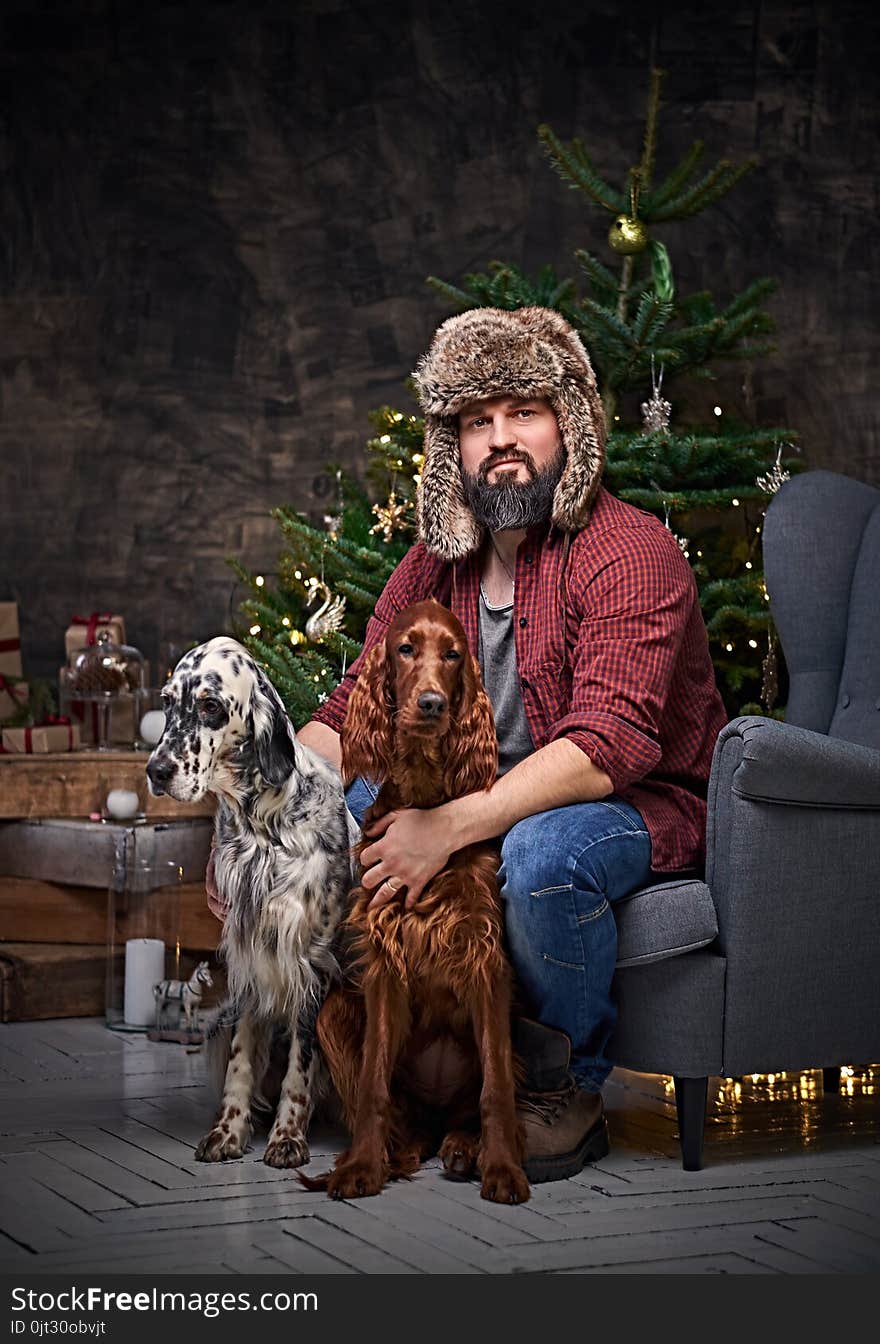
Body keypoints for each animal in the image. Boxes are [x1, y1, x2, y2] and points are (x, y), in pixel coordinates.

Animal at [146, 631, 357, 1166]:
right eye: (167, 703)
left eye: (209, 705)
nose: (156, 771)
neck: (261, 826)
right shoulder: (248, 956)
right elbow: (242, 1058)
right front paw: (229, 1131)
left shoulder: (309, 963)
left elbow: (300, 1066)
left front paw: (288, 1139)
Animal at [311, 602, 529, 1209]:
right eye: (405, 648)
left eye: (453, 654)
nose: (431, 703)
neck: (428, 797)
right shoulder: (385, 961)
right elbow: (372, 1086)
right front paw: (361, 1165)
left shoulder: (485, 959)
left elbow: (496, 1090)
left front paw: (503, 1169)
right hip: (335, 1014)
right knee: (402, 1119)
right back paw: (400, 1150)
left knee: (471, 1104)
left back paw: (464, 1145)